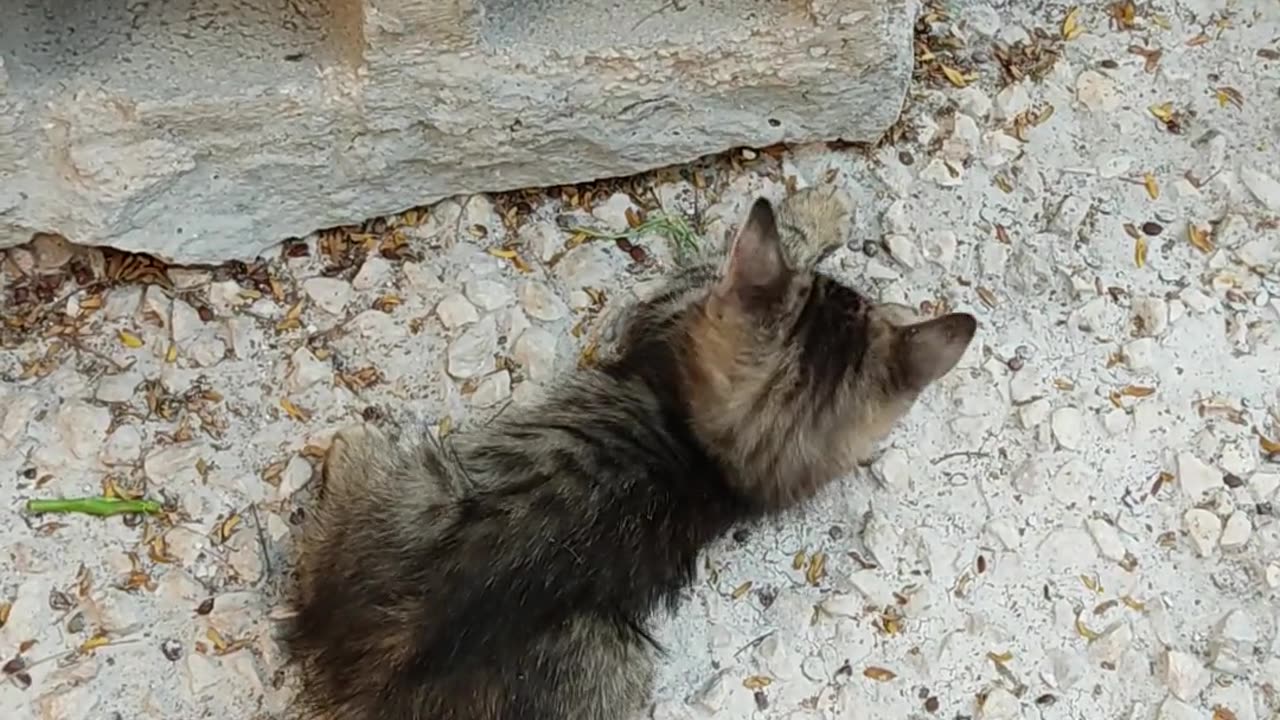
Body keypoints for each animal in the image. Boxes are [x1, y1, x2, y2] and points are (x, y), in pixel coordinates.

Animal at [282, 185, 977, 717]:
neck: (710, 457)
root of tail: (368, 671)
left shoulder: (667, 308)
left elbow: (722, 259)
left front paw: (815, 210)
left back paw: (350, 441)